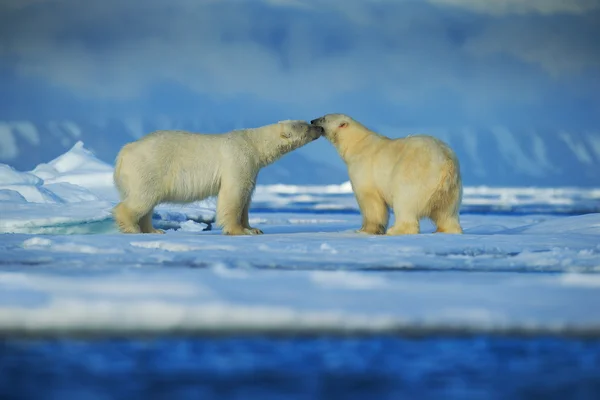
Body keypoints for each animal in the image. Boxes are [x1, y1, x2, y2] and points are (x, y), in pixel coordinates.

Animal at [110, 120, 322, 236]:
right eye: (305, 126)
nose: (318, 126)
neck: (253, 143)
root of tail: (123, 152)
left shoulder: (252, 168)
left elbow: (246, 198)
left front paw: (253, 228)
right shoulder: (238, 160)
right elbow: (234, 195)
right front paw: (239, 231)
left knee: (147, 203)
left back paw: (153, 230)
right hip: (149, 167)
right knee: (142, 199)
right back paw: (132, 228)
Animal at [312, 113, 462, 234]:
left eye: (324, 118)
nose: (312, 121)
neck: (357, 144)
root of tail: (446, 161)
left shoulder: (363, 168)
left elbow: (370, 199)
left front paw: (365, 230)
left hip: (415, 175)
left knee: (405, 202)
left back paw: (396, 230)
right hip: (452, 189)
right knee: (447, 213)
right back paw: (445, 230)